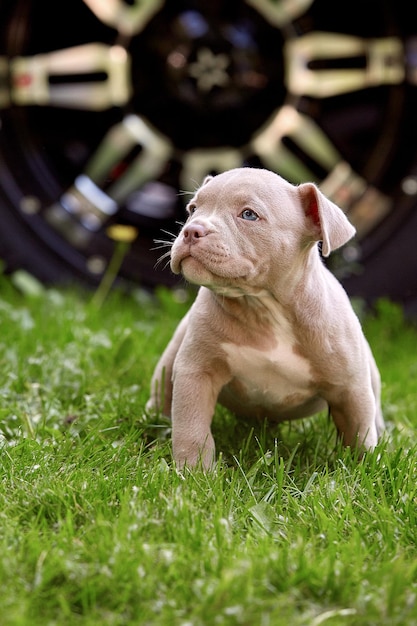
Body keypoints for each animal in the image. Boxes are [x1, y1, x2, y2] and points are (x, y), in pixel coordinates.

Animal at [147, 168, 384, 466]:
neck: (263, 308)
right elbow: (192, 427)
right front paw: (194, 470)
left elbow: (359, 434)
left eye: (249, 214)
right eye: (193, 209)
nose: (191, 230)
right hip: (172, 356)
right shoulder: (197, 370)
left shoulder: (350, 388)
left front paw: (364, 469)